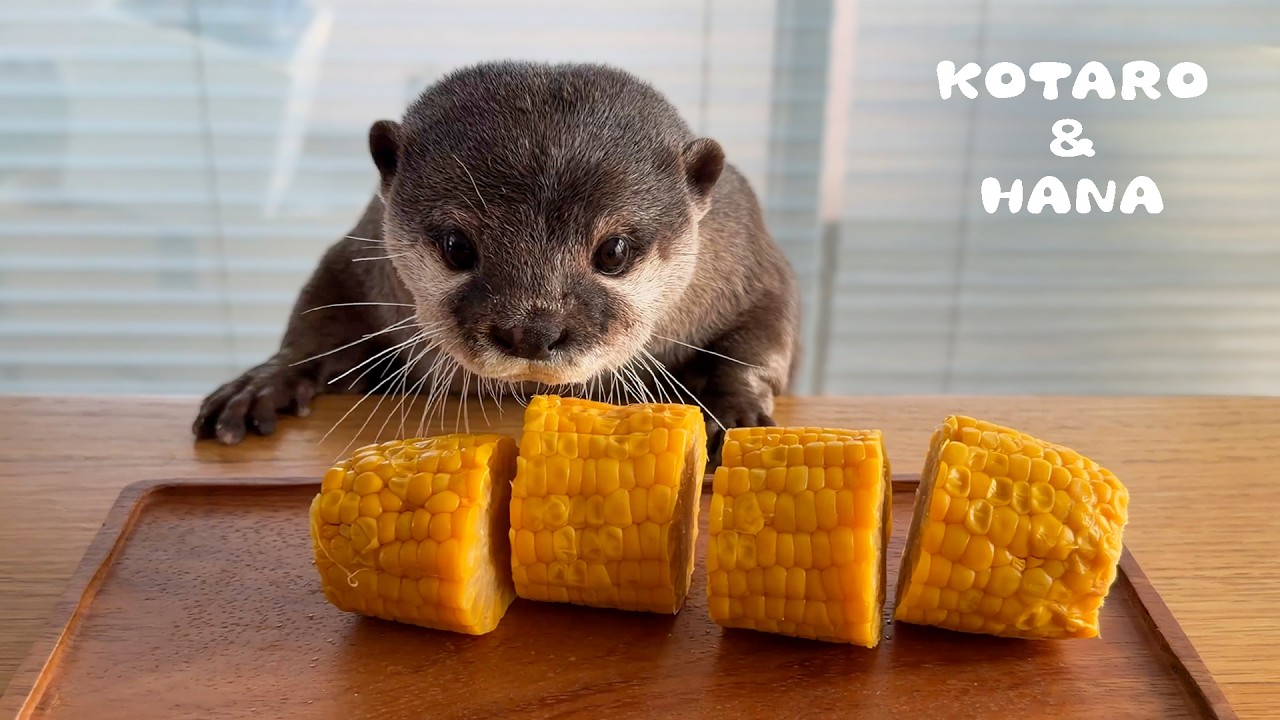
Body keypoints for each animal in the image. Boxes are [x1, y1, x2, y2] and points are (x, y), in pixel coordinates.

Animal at [193, 61, 800, 460]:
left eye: (614, 251)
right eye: (457, 246)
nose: (531, 331)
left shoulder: (746, 253)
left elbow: (764, 328)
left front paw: (730, 409)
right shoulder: (362, 249)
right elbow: (319, 312)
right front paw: (265, 381)